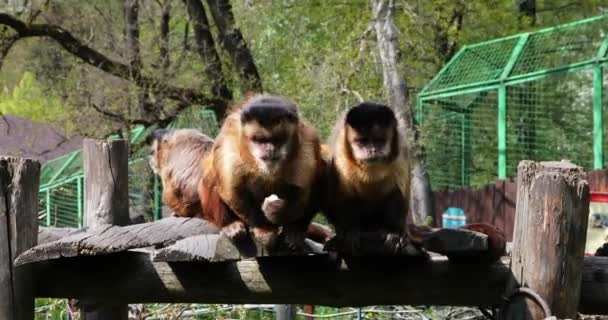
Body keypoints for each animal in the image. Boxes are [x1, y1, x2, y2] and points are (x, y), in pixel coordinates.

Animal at [197, 94, 326, 249]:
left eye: (277, 140)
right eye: (260, 140)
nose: (270, 149)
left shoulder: (307, 140)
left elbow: (305, 190)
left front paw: (277, 213)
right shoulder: (231, 138)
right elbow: (232, 191)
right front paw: (264, 229)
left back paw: (296, 229)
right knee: (211, 176)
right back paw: (229, 224)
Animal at [320, 102, 410, 255]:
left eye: (379, 141)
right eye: (362, 142)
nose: (372, 150)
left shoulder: (401, 148)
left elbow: (399, 193)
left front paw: (394, 232)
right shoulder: (341, 149)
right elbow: (345, 196)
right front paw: (350, 231)